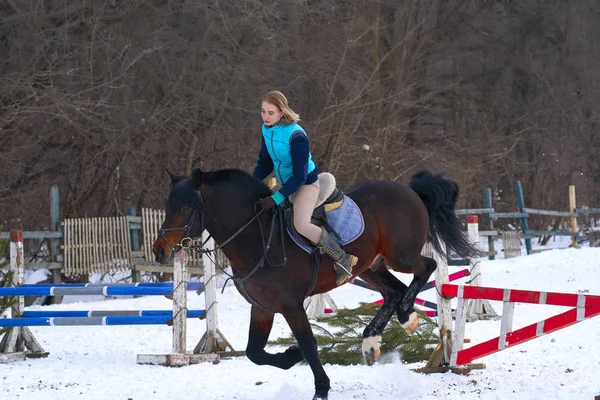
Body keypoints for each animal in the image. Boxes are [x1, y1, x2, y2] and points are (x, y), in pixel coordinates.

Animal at [152, 167, 476, 398]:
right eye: (167, 206)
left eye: (185, 209)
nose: (159, 251)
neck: (256, 238)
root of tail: (409, 190)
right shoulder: (263, 308)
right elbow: (255, 353)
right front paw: (290, 355)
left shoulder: (291, 305)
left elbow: (308, 344)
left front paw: (320, 388)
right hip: (369, 267)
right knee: (394, 291)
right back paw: (372, 341)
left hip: (401, 256)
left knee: (426, 268)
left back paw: (406, 317)